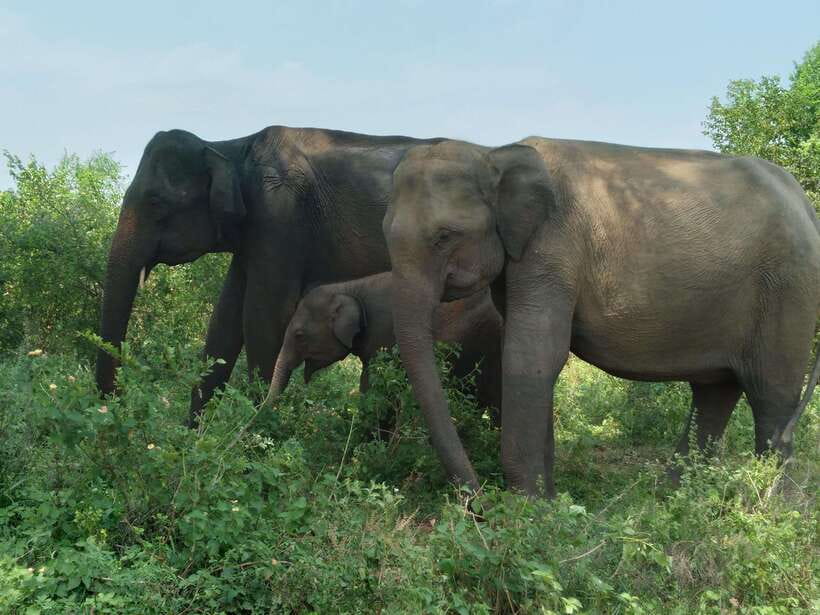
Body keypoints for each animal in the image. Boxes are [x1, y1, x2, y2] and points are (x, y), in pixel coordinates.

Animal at [96, 125, 447, 425]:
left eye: (155, 202)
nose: (115, 402)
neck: (232, 148)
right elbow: (224, 320)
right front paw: (192, 440)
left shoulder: (281, 217)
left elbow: (263, 317)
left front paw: (255, 438)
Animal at [383, 137, 820, 496]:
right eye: (385, 231)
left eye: (444, 236)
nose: (477, 499)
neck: (493, 152)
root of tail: (805, 203)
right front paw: (550, 503)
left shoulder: (553, 247)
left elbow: (532, 356)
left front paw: (526, 508)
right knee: (714, 393)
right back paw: (677, 501)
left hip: (787, 290)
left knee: (771, 398)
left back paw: (768, 508)